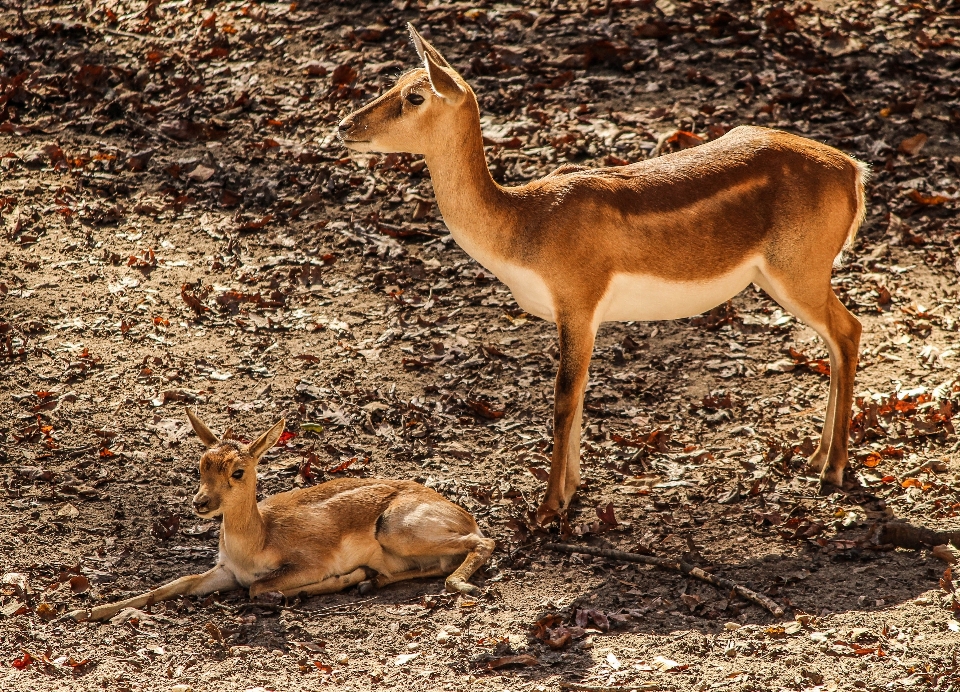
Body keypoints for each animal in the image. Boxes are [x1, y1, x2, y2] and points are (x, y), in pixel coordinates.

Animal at [69, 408, 496, 624]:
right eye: (202, 464)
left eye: (238, 471)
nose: (201, 503)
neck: (258, 540)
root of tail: (462, 513)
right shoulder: (226, 571)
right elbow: (171, 586)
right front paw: (83, 611)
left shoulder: (306, 563)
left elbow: (259, 588)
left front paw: (339, 579)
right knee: (439, 563)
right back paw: (369, 581)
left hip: (398, 529)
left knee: (483, 543)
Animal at [340, 24, 872, 520]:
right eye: (394, 82)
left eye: (415, 95)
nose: (345, 124)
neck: (525, 224)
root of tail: (853, 170)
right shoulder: (582, 317)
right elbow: (578, 395)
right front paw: (571, 492)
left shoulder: (577, 302)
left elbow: (562, 396)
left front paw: (547, 508)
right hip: (779, 279)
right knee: (836, 340)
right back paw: (816, 458)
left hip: (798, 272)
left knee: (849, 329)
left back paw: (832, 470)